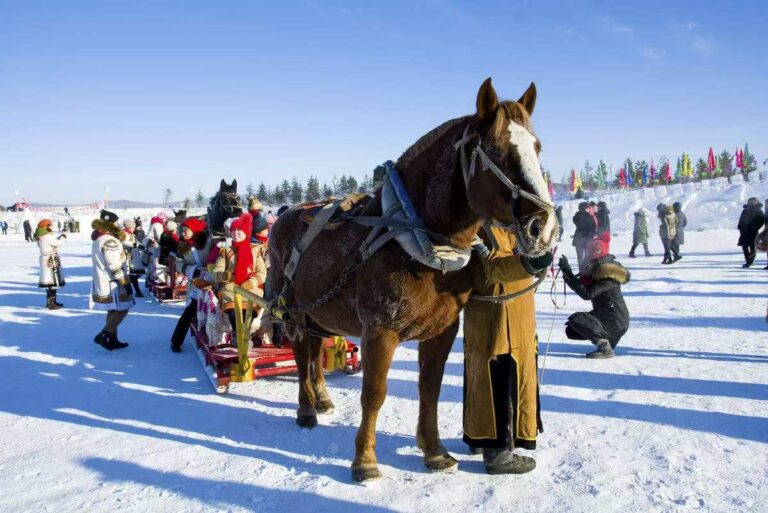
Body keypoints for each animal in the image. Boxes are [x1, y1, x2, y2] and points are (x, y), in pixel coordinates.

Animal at [268, 78, 556, 482]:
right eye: (495, 151)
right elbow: (374, 394)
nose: (542, 227)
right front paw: (365, 461)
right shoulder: (379, 332)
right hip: (293, 310)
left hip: (319, 314)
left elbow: (430, 388)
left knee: (314, 349)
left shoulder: (443, 330)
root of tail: (284, 217)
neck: (418, 243)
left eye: (537, 146)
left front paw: (434, 452)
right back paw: (306, 409)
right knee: (299, 352)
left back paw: (321, 398)